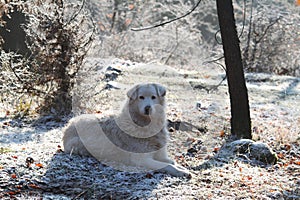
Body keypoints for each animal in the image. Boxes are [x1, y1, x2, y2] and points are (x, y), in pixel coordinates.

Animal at [62, 83, 191, 177]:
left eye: (153, 97)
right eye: (141, 97)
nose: (148, 108)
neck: (144, 125)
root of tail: (69, 123)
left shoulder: (160, 154)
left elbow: (172, 162)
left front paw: (182, 168)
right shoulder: (141, 159)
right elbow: (167, 166)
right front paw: (181, 171)